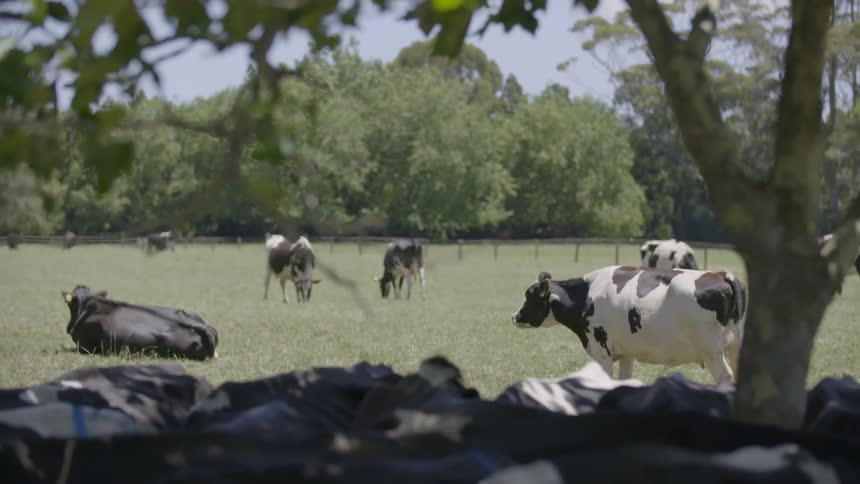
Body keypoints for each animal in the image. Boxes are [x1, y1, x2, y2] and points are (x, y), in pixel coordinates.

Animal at [511, 266, 746, 385]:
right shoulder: (626, 352)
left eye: (530, 296)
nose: (514, 316)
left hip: (712, 351)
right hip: (736, 348)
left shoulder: (602, 351)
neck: (587, 295)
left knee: (725, 379)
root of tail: (721, 274)